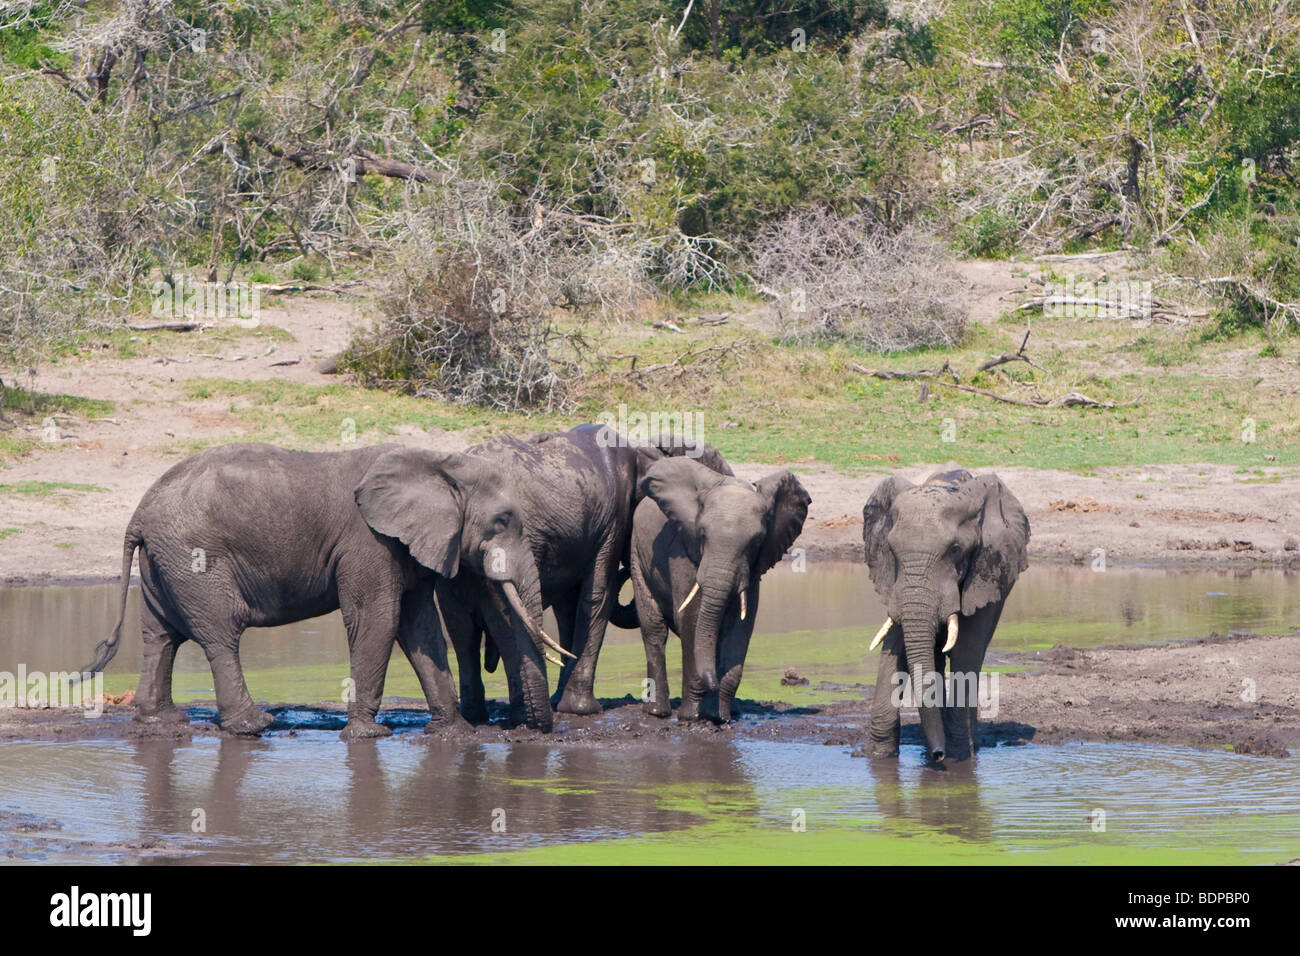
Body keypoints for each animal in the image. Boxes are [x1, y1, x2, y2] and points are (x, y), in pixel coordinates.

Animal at [76, 442, 553, 738]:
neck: (438, 460)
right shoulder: (369, 542)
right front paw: (368, 734)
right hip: (193, 558)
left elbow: (420, 628)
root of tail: (138, 512)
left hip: (163, 562)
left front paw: (454, 733)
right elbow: (378, 619)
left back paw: (162, 720)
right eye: (503, 521)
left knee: (161, 635)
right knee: (220, 633)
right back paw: (255, 726)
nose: (531, 729)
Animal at [629, 460, 811, 723]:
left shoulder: (752, 568)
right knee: (654, 629)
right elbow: (692, 620)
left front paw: (719, 716)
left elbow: (742, 625)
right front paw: (692, 717)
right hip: (637, 554)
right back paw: (658, 712)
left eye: (756, 542)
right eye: (702, 534)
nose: (712, 682)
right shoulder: (683, 551)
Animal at [857, 468, 1029, 764]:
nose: (938, 755)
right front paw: (878, 756)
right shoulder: (894, 583)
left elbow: (966, 650)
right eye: (891, 550)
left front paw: (958, 757)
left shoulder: (985, 572)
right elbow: (896, 643)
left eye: (955, 550)